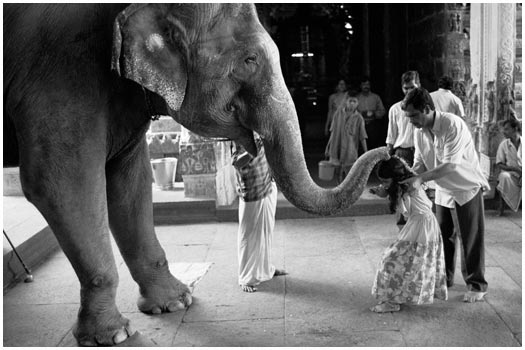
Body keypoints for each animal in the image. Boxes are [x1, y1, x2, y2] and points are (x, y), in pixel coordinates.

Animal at [4, 3, 388, 348]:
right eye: (250, 60)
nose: (386, 152)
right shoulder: (61, 73)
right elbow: (58, 182)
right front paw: (115, 336)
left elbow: (130, 179)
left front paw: (176, 303)